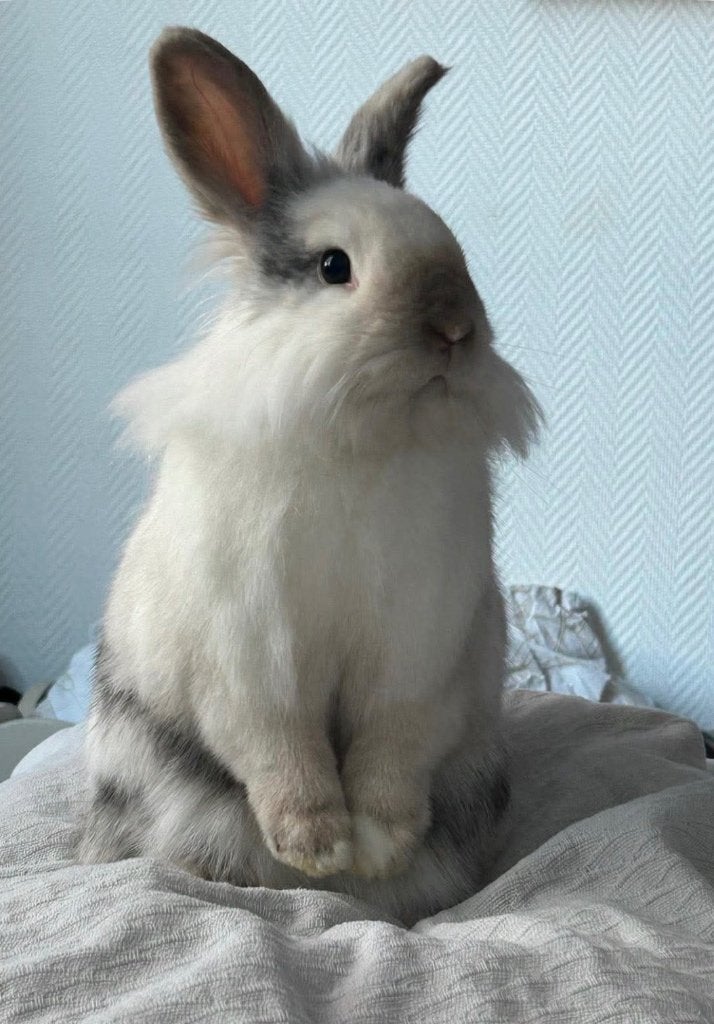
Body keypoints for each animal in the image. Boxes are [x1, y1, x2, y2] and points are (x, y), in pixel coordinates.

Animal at [77, 27, 540, 925]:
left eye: (454, 246)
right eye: (334, 267)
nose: (455, 328)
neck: (361, 438)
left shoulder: (419, 656)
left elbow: (392, 751)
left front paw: (380, 845)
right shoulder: (249, 657)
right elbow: (280, 750)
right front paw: (319, 849)